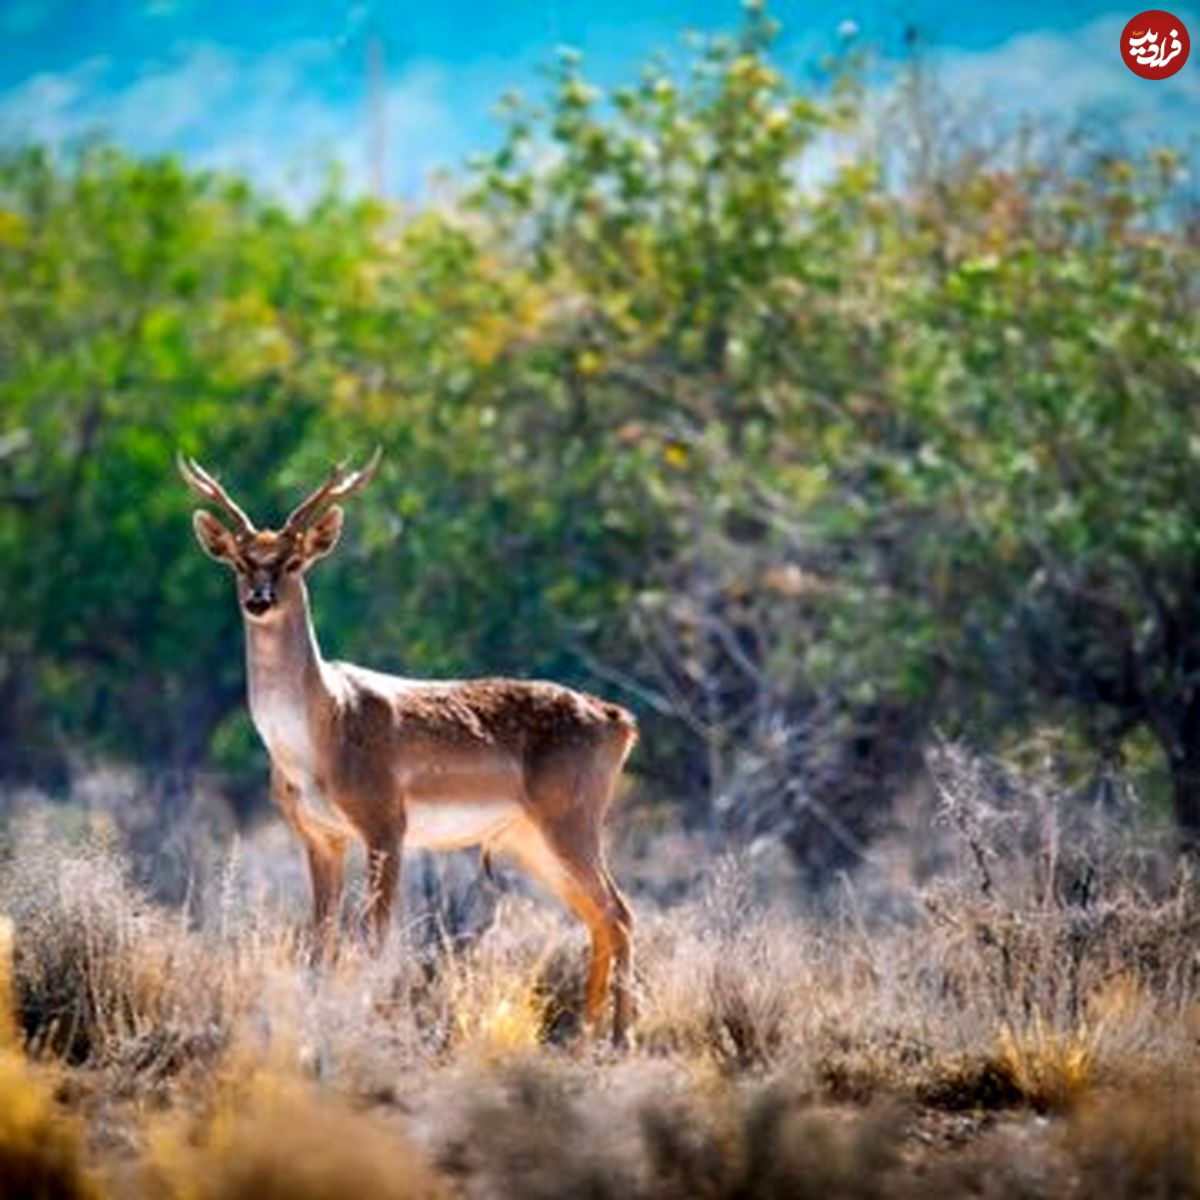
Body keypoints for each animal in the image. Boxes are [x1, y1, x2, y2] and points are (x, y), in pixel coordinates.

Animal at [177, 451, 638, 1041]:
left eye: (294, 561)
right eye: (239, 561)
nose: (259, 600)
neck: (320, 733)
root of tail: (620, 720)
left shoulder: (385, 824)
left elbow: (373, 940)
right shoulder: (320, 836)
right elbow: (320, 943)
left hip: (572, 821)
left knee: (619, 913)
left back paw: (619, 1037)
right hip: (528, 839)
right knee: (600, 918)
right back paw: (586, 1032)